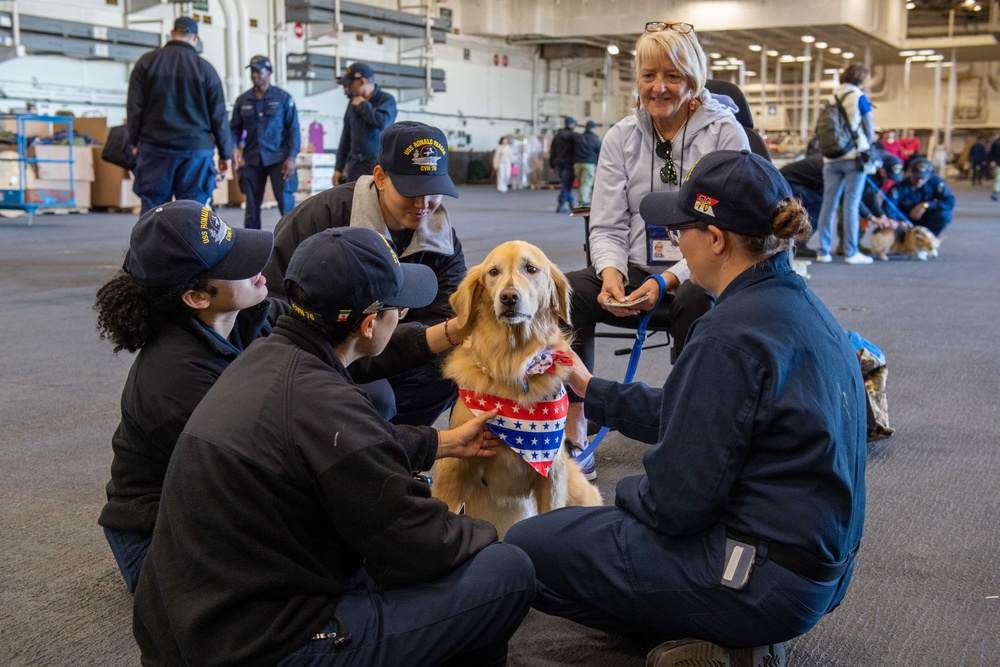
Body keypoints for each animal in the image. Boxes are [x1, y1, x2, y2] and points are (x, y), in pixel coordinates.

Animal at [432, 240, 600, 536]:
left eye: (531, 269)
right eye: (493, 272)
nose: (509, 297)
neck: (511, 365)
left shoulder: (552, 474)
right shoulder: (453, 468)